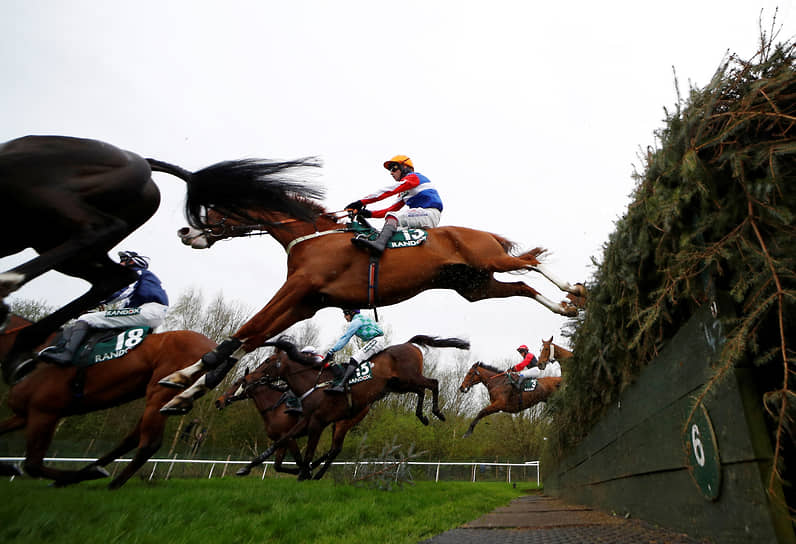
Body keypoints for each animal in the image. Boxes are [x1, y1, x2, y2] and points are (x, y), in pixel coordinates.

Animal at [0, 314, 216, 488]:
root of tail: (210, 345)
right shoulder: (24, 414)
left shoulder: (44, 411)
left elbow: (33, 465)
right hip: (159, 398)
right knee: (133, 438)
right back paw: (89, 472)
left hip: (159, 392)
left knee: (149, 443)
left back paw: (109, 483)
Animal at [160, 185, 584, 414]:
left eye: (214, 208)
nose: (185, 231)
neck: (310, 237)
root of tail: (481, 233)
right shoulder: (305, 302)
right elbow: (248, 337)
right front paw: (186, 391)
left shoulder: (297, 289)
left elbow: (248, 328)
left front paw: (181, 378)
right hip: (476, 287)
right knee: (523, 285)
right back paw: (565, 306)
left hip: (489, 261)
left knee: (530, 263)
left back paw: (575, 292)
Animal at [215, 368, 370, 478]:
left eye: (236, 383)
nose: (218, 401)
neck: (274, 408)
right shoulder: (281, 440)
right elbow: (277, 466)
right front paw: (303, 470)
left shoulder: (289, 437)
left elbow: (297, 459)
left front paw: (303, 471)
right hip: (336, 425)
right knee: (334, 449)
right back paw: (314, 466)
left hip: (342, 424)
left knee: (335, 449)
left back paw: (316, 472)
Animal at [243, 336, 466, 480]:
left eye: (268, 360)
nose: (247, 378)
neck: (314, 383)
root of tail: (409, 345)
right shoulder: (306, 421)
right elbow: (283, 439)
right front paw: (246, 468)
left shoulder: (317, 422)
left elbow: (307, 451)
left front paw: (304, 473)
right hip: (400, 384)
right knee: (421, 390)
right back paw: (422, 415)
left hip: (407, 379)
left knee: (433, 383)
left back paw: (436, 412)